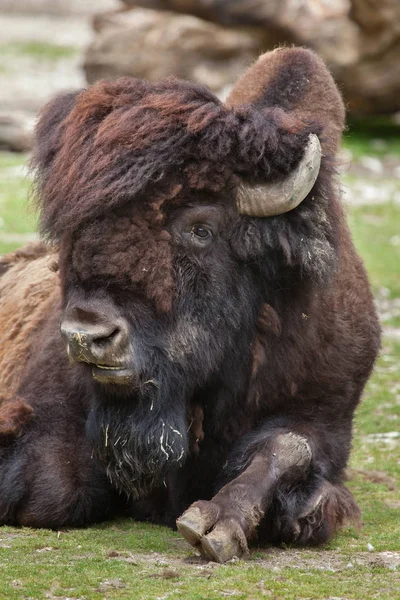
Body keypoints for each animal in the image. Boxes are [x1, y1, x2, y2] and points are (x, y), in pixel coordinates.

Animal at [0, 47, 382, 564]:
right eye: (72, 232)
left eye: (201, 228)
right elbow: (52, 489)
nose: (86, 335)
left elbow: (288, 450)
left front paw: (215, 525)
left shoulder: (326, 412)